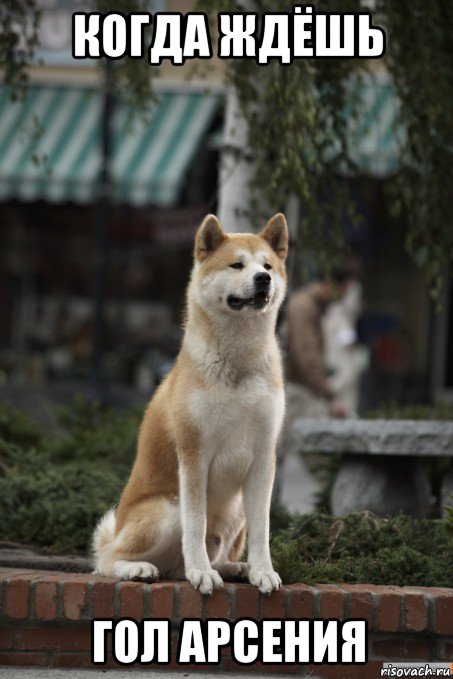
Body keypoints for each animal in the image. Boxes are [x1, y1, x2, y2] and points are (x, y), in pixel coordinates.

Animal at [93, 212, 288, 596]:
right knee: (108, 560)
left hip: (236, 509)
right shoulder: (194, 454)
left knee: (203, 558)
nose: (263, 279)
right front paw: (201, 573)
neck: (237, 364)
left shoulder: (263, 457)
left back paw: (235, 568)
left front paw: (263, 571)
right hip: (167, 508)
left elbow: (263, 530)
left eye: (268, 266)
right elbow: (195, 526)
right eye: (237, 264)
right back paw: (142, 568)